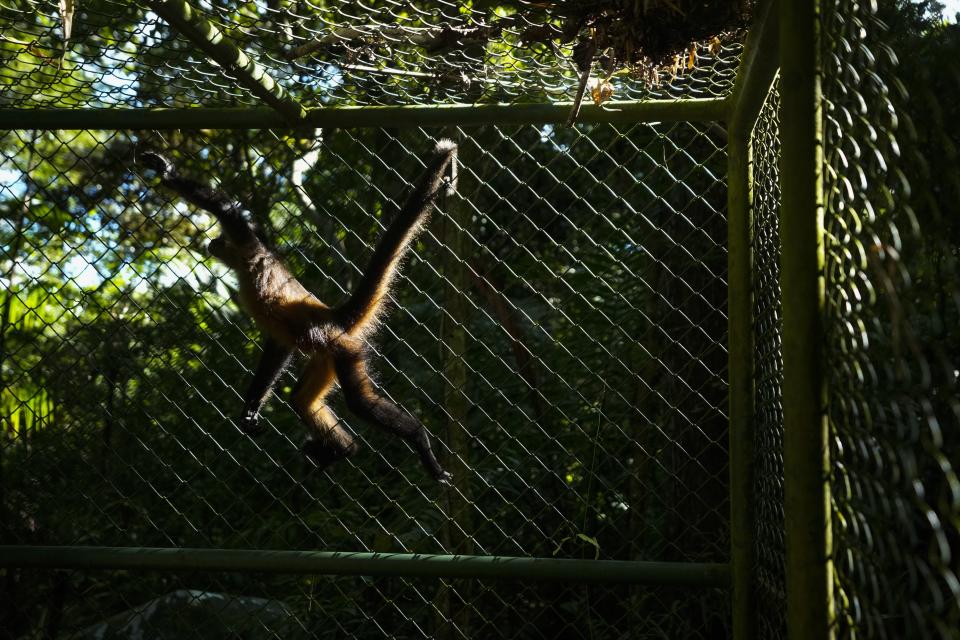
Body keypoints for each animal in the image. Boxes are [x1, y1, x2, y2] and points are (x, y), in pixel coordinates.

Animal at [141, 139, 460, 480]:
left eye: (223, 237)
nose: (213, 240)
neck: (244, 266)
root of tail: (334, 317)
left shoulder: (251, 249)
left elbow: (227, 210)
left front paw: (167, 172)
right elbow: (279, 345)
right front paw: (251, 407)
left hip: (344, 350)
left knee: (358, 402)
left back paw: (418, 437)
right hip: (326, 358)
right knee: (301, 400)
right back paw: (344, 450)